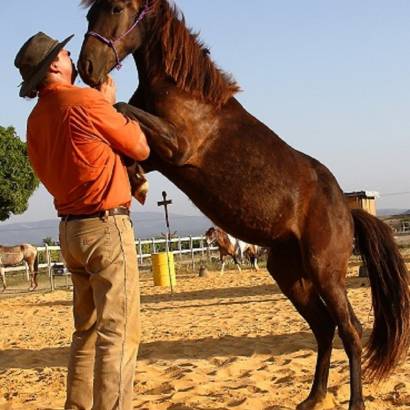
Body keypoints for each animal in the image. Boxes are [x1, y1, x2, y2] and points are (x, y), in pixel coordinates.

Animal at [77, 1, 410, 408]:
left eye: (117, 8)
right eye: (89, 14)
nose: (87, 66)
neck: (187, 93)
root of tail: (348, 211)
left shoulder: (177, 147)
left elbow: (124, 108)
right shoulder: (157, 154)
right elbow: (127, 149)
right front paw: (134, 181)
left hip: (325, 274)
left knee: (350, 329)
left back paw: (354, 401)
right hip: (288, 273)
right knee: (323, 327)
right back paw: (313, 397)